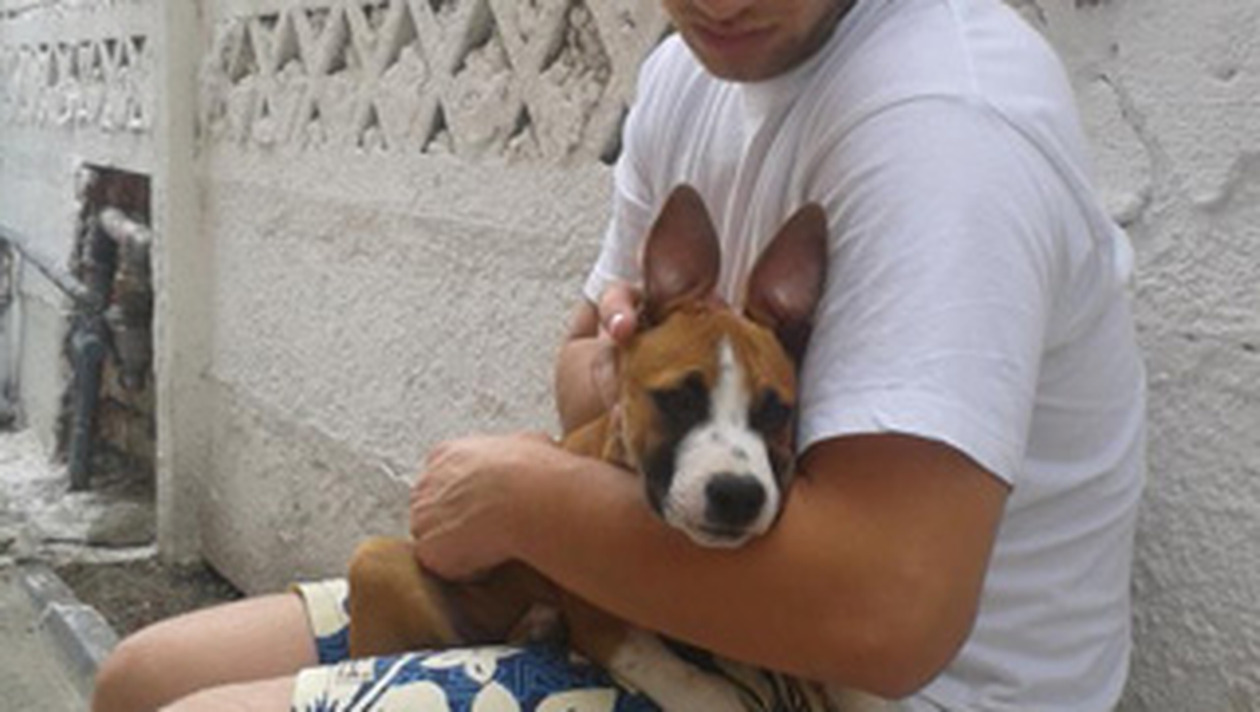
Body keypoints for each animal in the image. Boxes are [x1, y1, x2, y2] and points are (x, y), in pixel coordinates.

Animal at [345, 185, 887, 711]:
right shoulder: (605, 626)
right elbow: (697, 687)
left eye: (777, 412)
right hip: (376, 563)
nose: (738, 496)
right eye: (678, 399)